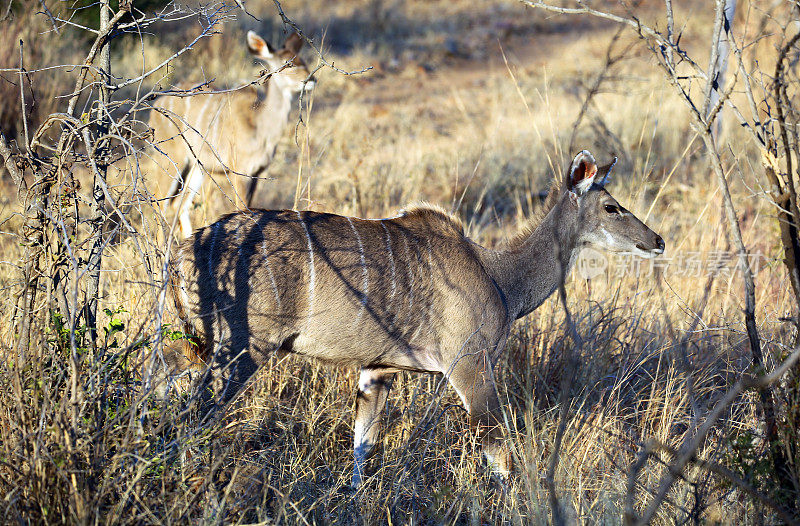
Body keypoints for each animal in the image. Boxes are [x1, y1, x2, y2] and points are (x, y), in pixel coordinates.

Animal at [150, 31, 316, 239]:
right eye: (288, 63)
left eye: (303, 60)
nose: (311, 80)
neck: (260, 126)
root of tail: (155, 107)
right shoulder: (241, 171)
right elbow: (241, 210)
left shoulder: (257, 173)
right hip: (171, 159)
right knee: (159, 202)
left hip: (197, 167)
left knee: (179, 205)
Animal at [162, 151, 664, 488]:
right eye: (612, 207)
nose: (657, 241)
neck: (499, 277)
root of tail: (184, 250)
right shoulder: (469, 365)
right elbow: (498, 452)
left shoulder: (377, 369)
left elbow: (363, 444)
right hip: (243, 349)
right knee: (196, 412)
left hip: (191, 347)